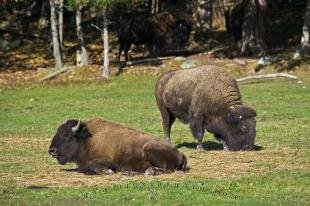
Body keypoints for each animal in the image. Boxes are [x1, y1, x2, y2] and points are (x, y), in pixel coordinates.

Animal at [48, 118, 186, 175]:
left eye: (66, 135)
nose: (51, 150)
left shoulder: (104, 162)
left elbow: (91, 168)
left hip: (149, 149)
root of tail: (181, 154)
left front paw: (108, 172)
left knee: (167, 170)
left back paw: (148, 172)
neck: (87, 140)